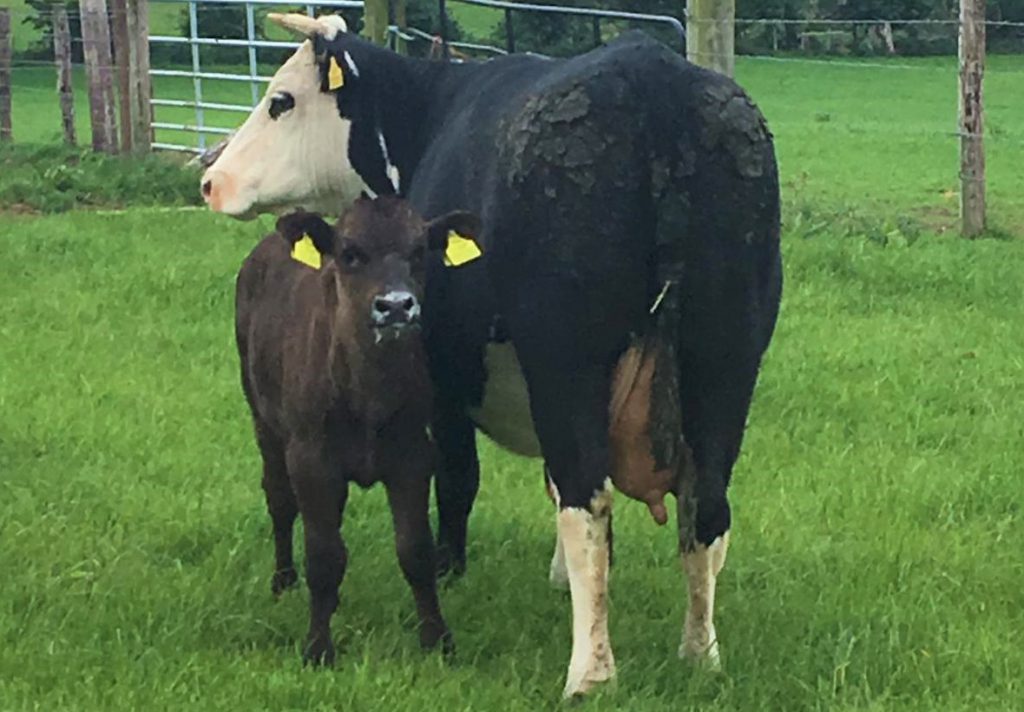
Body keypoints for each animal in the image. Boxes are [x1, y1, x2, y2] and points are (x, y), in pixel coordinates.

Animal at [235, 195, 480, 665]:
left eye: (418, 251)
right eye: (350, 254)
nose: (397, 305)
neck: (369, 393)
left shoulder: (412, 456)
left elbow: (415, 550)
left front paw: (437, 640)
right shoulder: (311, 458)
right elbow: (323, 554)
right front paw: (318, 647)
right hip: (263, 419)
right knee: (279, 500)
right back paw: (284, 580)